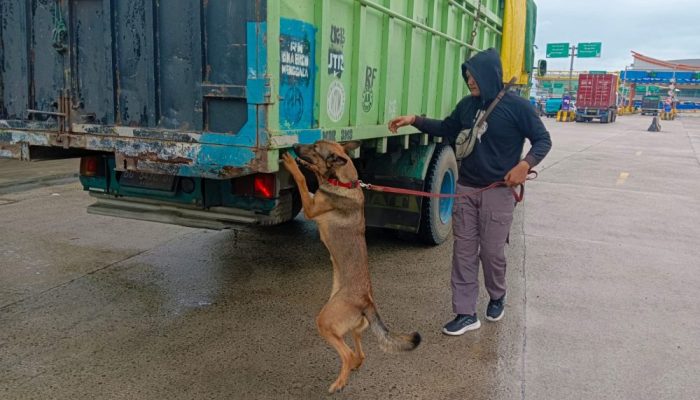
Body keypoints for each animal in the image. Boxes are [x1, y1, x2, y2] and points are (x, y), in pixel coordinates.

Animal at [280, 141, 422, 394]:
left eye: (315, 148)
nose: (295, 144)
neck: (343, 182)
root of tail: (366, 301)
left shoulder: (310, 207)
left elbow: (303, 180)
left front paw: (293, 165)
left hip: (325, 321)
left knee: (346, 354)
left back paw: (339, 382)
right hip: (352, 326)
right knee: (360, 353)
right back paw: (355, 365)